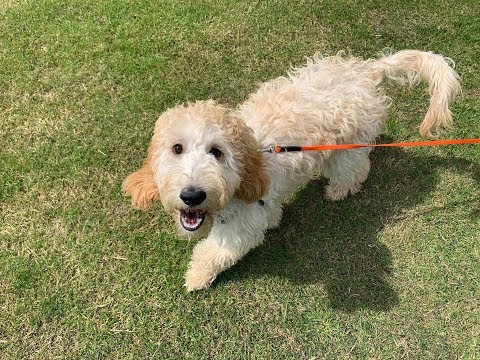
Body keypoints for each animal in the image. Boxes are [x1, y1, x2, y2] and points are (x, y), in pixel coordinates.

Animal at [123, 50, 462, 292]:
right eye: (176, 148)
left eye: (217, 152)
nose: (192, 195)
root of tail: (366, 70)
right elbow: (270, 211)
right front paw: (275, 220)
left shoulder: (241, 225)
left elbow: (215, 252)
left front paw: (196, 278)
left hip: (347, 147)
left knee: (355, 168)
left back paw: (339, 189)